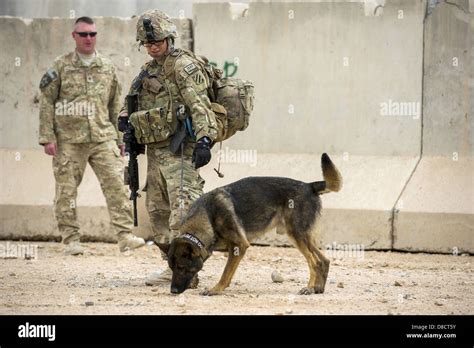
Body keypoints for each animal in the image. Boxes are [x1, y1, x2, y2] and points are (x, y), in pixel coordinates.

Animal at [158, 154, 340, 294]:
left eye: (182, 267)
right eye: (172, 267)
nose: (173, 291)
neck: (208, 216)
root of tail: (309, 186)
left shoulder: (239, 245)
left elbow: (225, 272)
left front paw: (216, 289)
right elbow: (227, 272)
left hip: (297, 235)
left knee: (315, 262)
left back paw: (309, 288)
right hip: (301, 237)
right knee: (324, 260)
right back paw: (318, 288)